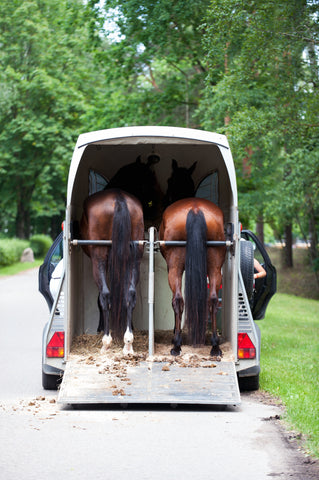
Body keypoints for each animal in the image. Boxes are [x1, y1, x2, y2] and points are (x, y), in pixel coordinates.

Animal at [80, 189, 145, 354]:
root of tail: (118, 197)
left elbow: (101, 298)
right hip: (135, 257)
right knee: (130, 294)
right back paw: (128, 341)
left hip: (98, 260)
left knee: (105, 295)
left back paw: (106, 341)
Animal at [159, 161, 225, 356]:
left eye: (169, 180)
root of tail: (195, 209)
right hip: (215, 266)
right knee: (212, 300)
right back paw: (215, 346)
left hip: (174, 267)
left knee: (178, 299)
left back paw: (176, 344)